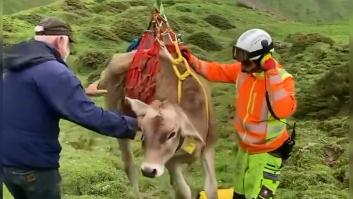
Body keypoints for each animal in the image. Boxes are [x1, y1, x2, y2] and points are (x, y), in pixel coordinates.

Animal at [97, 47, 217, 199]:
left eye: (172, 134)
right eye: (143, 134)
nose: (148, 170)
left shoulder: (208, 147)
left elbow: (211, 188)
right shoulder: (171, 162)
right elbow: (183, 191)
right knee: (129, 164)